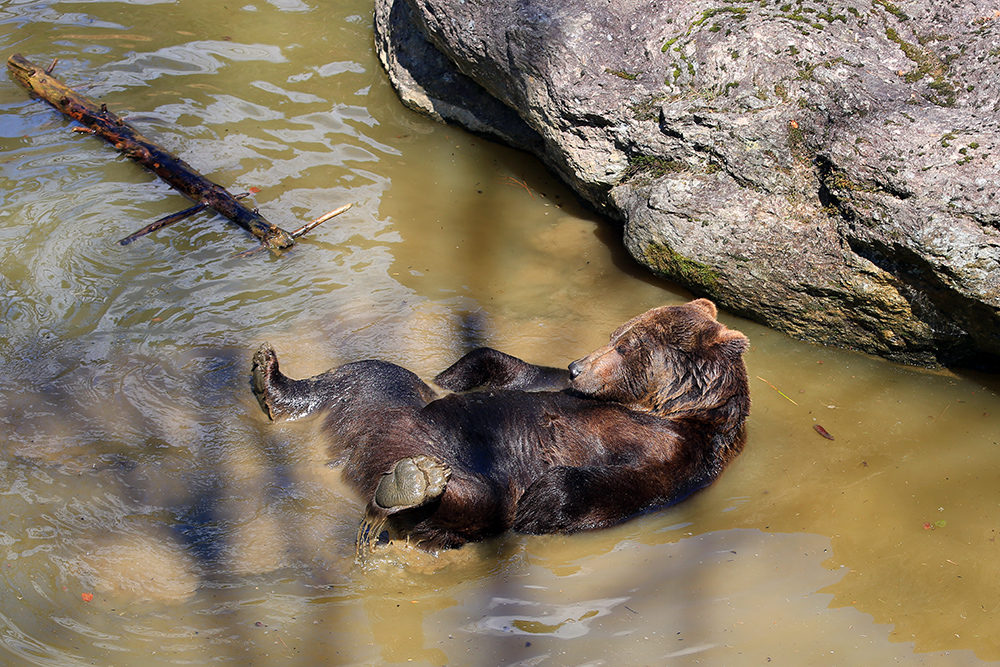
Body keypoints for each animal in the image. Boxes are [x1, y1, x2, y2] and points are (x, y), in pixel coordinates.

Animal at [250, 300, 752, 552]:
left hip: (446, 466)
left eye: (626, 345)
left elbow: (614, 487)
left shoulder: (678, 453)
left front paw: (543, 496)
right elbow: (506, 367)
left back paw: (409, 484)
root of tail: (350, 451)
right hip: (387, 401)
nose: (577, 366)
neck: (660, 408)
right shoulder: (553, 384)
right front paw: (448, 376)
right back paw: (268, 377)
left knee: (474, 503)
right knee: (369, 372)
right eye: (615, 335)